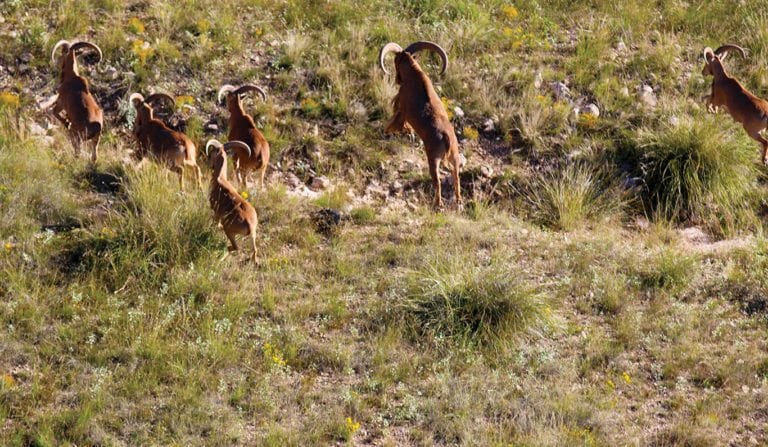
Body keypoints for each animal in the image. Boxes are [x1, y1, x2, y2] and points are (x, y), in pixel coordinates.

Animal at [378, 41, 462, 209]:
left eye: (395, 61)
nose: (396, 79)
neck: (414, 75)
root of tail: (446, 138)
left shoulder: (401, 108)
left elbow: (395, 123)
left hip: (433, 158)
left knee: (437, 181)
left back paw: (438, 204)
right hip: (454, 156)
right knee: (456, 177)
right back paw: (458, 201)